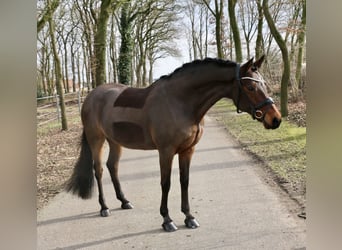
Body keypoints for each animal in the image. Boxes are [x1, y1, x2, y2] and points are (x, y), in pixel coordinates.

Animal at [66, 55, 280, 231]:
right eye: (251, 87)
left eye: (264, 84)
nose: (275, 119)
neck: (180, 102)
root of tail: (92, 95)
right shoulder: (166, 151)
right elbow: (166, 183)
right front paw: (167, 220)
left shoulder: (188, 150)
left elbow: (184, 181)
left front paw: (189, 217)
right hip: (96, 139)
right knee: (99, 170)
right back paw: (104, 207)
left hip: (115, 140)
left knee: (113, 166)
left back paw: (124, 201)